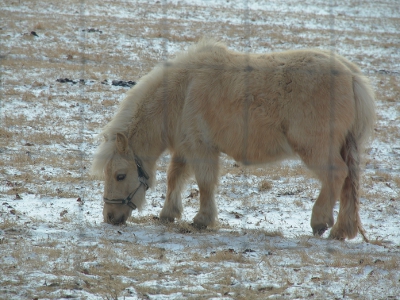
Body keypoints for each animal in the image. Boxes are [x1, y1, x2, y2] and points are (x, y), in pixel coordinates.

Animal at [91, 40, 376, 241]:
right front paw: (168, 214)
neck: (181, 93)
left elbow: (204, 183)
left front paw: (202, 219)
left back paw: (321, 222)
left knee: (336, 176)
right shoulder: (184, 148)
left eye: (119, 175)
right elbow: (175, 177)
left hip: (315, 148)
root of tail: (352, 76)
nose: (110, 217)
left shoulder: (201, 148)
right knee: (348, 183)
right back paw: (342, 230)